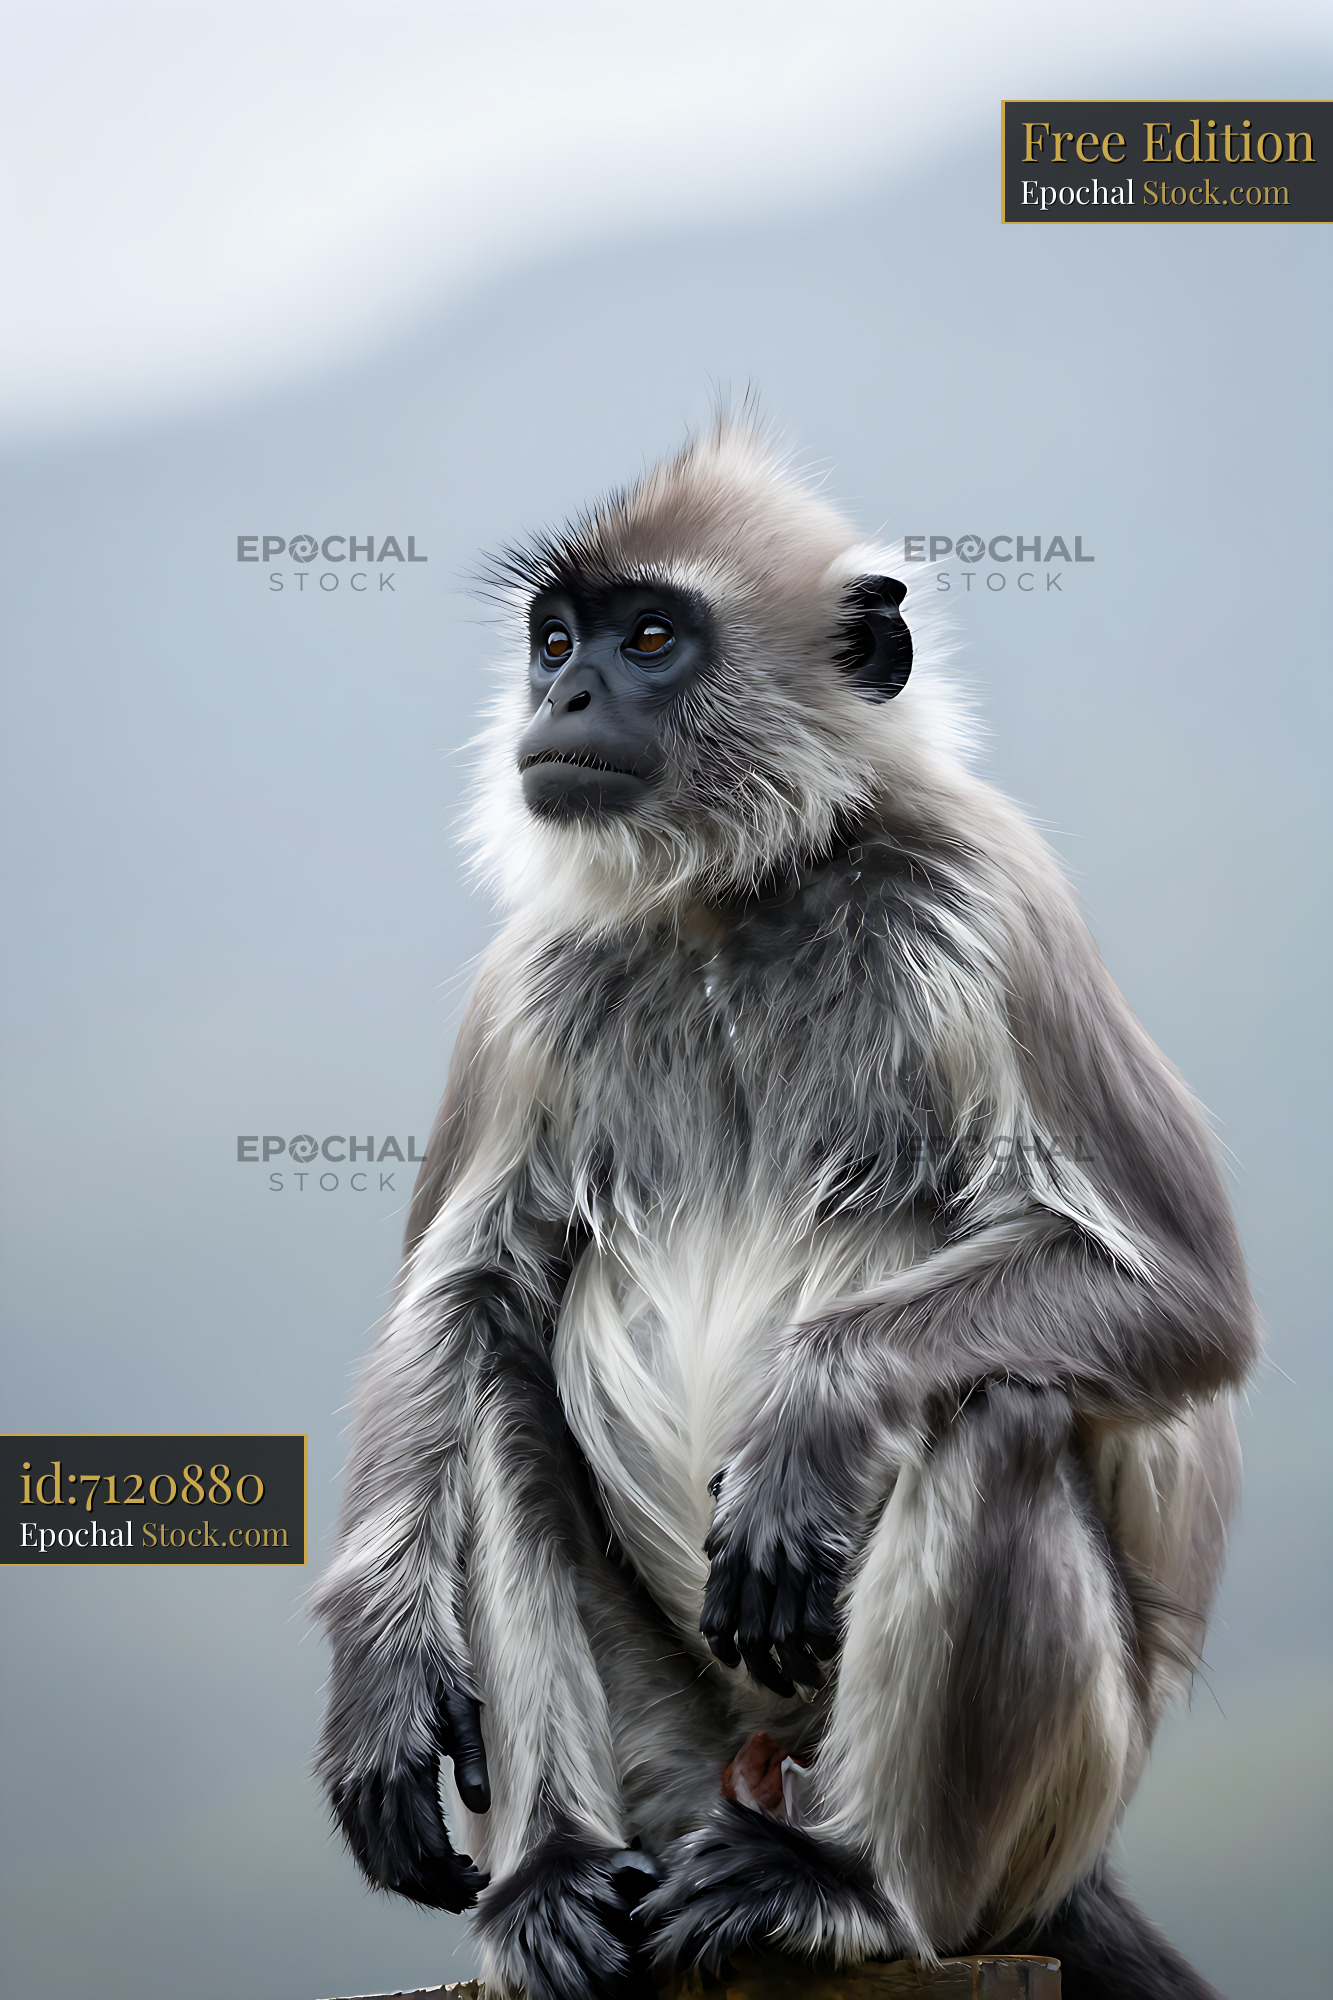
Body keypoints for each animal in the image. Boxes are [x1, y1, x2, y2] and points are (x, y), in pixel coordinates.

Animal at [315, 417, 1256, 2000]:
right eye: (556, 639)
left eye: (649, 637)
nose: (562, 695)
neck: (739, 901)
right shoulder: (530, 985)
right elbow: (464, 1298)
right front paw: (379, 1685)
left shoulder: (983, 903)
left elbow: (1183, 1294)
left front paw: (806, 1418)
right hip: (676, 1768)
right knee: (498, 1390)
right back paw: (555, 1876)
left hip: (1046, 1805)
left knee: (991, 1404)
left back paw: (850, 1879)